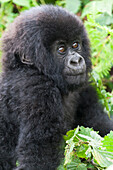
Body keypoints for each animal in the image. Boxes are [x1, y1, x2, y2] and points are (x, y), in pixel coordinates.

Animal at [0, 4, 113, 170]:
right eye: (61, 49)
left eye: (75, 44)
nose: (76, 61)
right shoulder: (38, 90)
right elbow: (38, 156)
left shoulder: (84, 84)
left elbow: (97, 125)